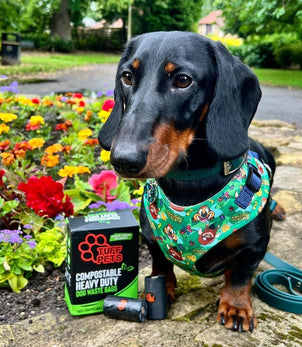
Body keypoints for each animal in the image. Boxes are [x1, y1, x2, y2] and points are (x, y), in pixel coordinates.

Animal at [99, 31, 286, 334]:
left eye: (183, 80)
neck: (189, 183)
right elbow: (160, 265)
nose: (123, 160)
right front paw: (161, 291)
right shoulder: (151, 238)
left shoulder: (256, 245)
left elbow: (240, 275)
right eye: (127, 76)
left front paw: (236, 306)